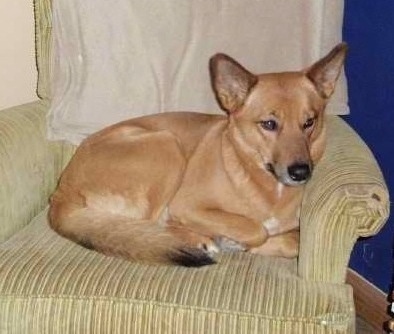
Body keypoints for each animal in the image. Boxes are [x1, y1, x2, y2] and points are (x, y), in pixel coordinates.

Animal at [49, 43, 348, 266]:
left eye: (309, 122)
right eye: (269, 124)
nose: (301, 172)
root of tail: (63, 190)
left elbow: (293, 240)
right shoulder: (187, 205)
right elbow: (256, 229)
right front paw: (232, 240)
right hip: (166, 145)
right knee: (149, 226)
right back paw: (199, 239)